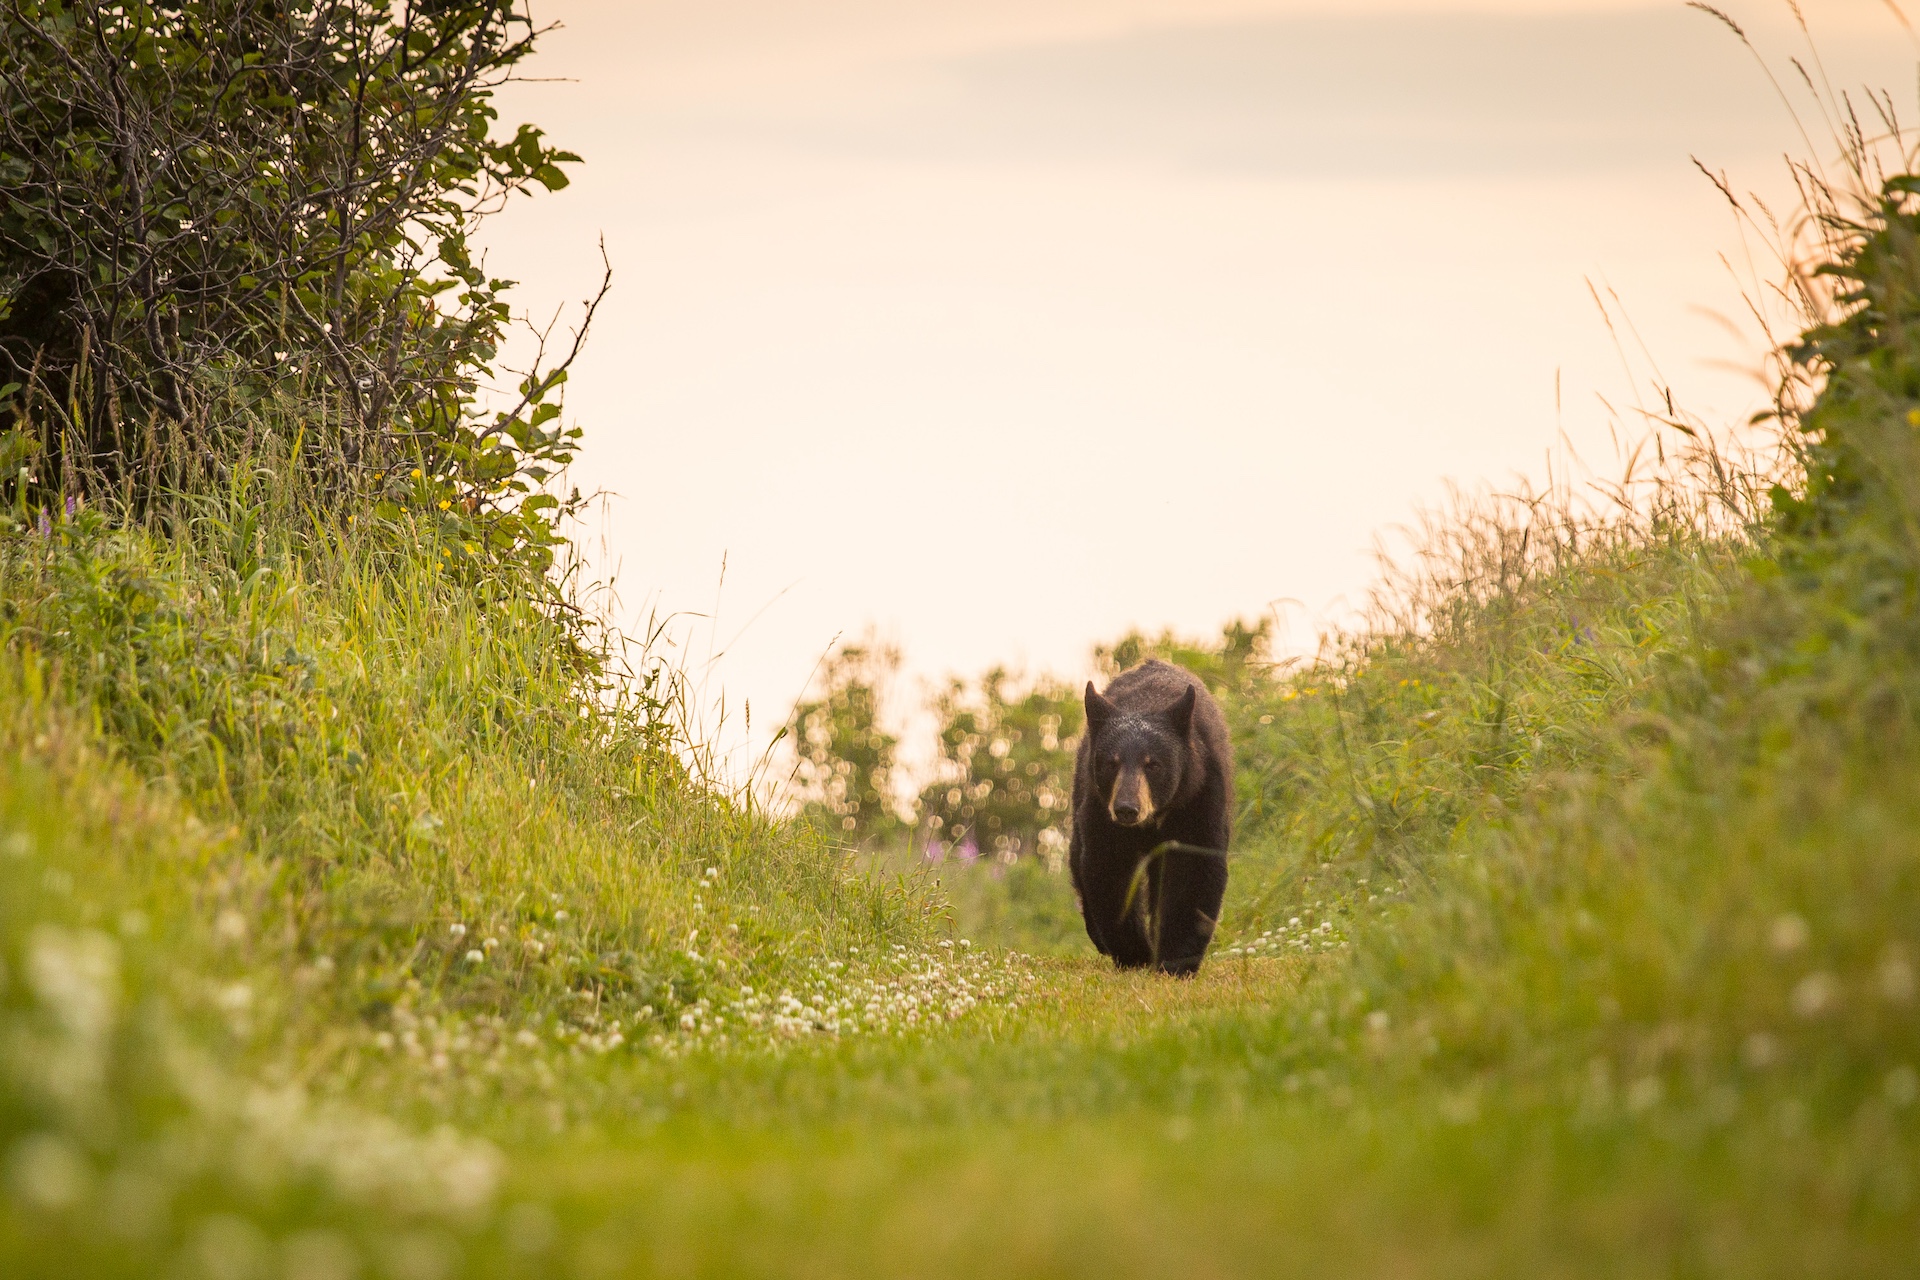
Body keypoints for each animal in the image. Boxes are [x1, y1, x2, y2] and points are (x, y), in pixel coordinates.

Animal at [1069, 658, 1232, 975]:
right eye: (1112, 763)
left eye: (1153, 764)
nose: (1126, 808)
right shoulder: (1100, 808)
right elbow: (1109, 869)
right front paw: (1135, 953)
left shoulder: (1198, 798)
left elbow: (1193, 868)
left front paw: (1176, 961)